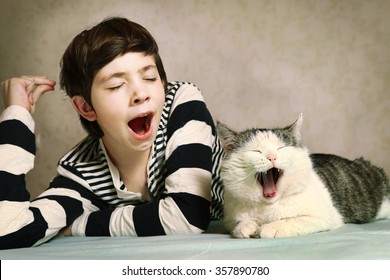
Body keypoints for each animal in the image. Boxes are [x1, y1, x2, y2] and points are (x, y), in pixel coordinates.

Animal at [216, 114, 390, 238]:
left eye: (281, 148)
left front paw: (270, 228)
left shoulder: (320, 217)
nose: (272, 157)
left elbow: (290, 220)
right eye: (256, 151)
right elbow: (239, 223)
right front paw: (246, 226)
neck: (267, 206)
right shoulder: (229, 219)